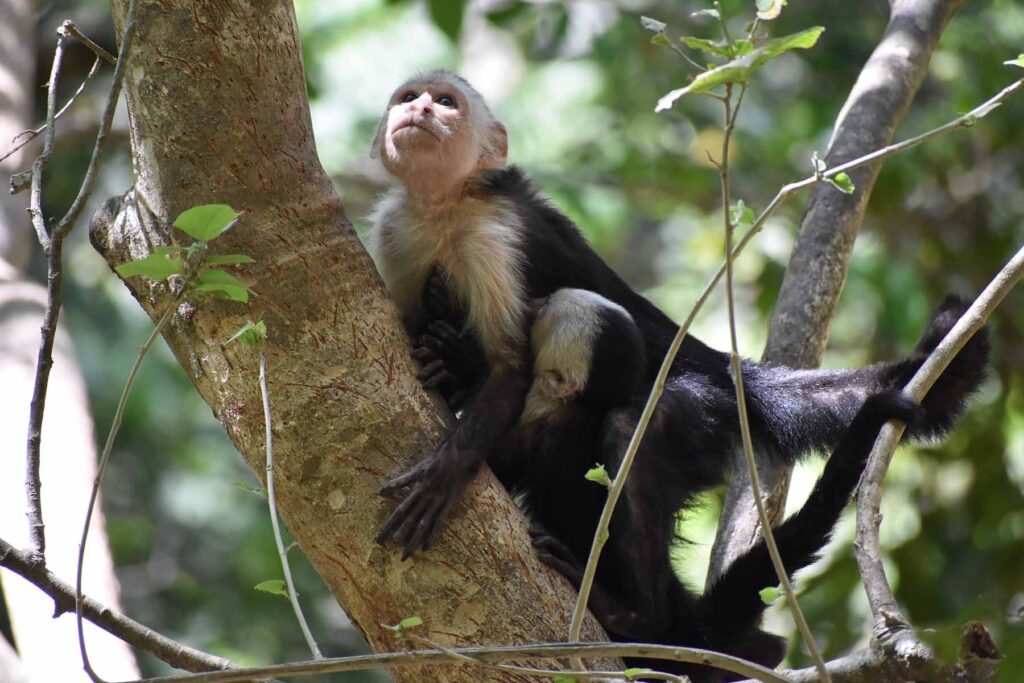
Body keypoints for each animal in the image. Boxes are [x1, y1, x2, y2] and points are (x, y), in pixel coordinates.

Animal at [366, 70, 988, 676]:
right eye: (408, 96)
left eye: (446, 102)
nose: (420, 110)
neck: (446, 207)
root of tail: (719, 368)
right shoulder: (394, 232)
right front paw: (442, 364)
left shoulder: (495, 237)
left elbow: (509, 371)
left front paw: (447, 468)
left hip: (697, 410)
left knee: (633, 426)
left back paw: (638, 614)